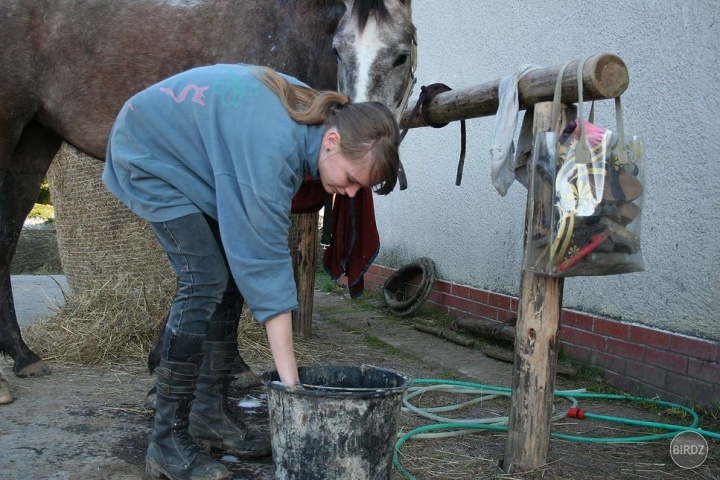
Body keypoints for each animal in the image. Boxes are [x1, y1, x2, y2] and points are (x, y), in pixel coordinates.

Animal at [0, 0, 416, 390]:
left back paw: (22, 355)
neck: (292, 30)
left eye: (401, 55)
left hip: (35, 138)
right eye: (337, 51)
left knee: (8, 234)